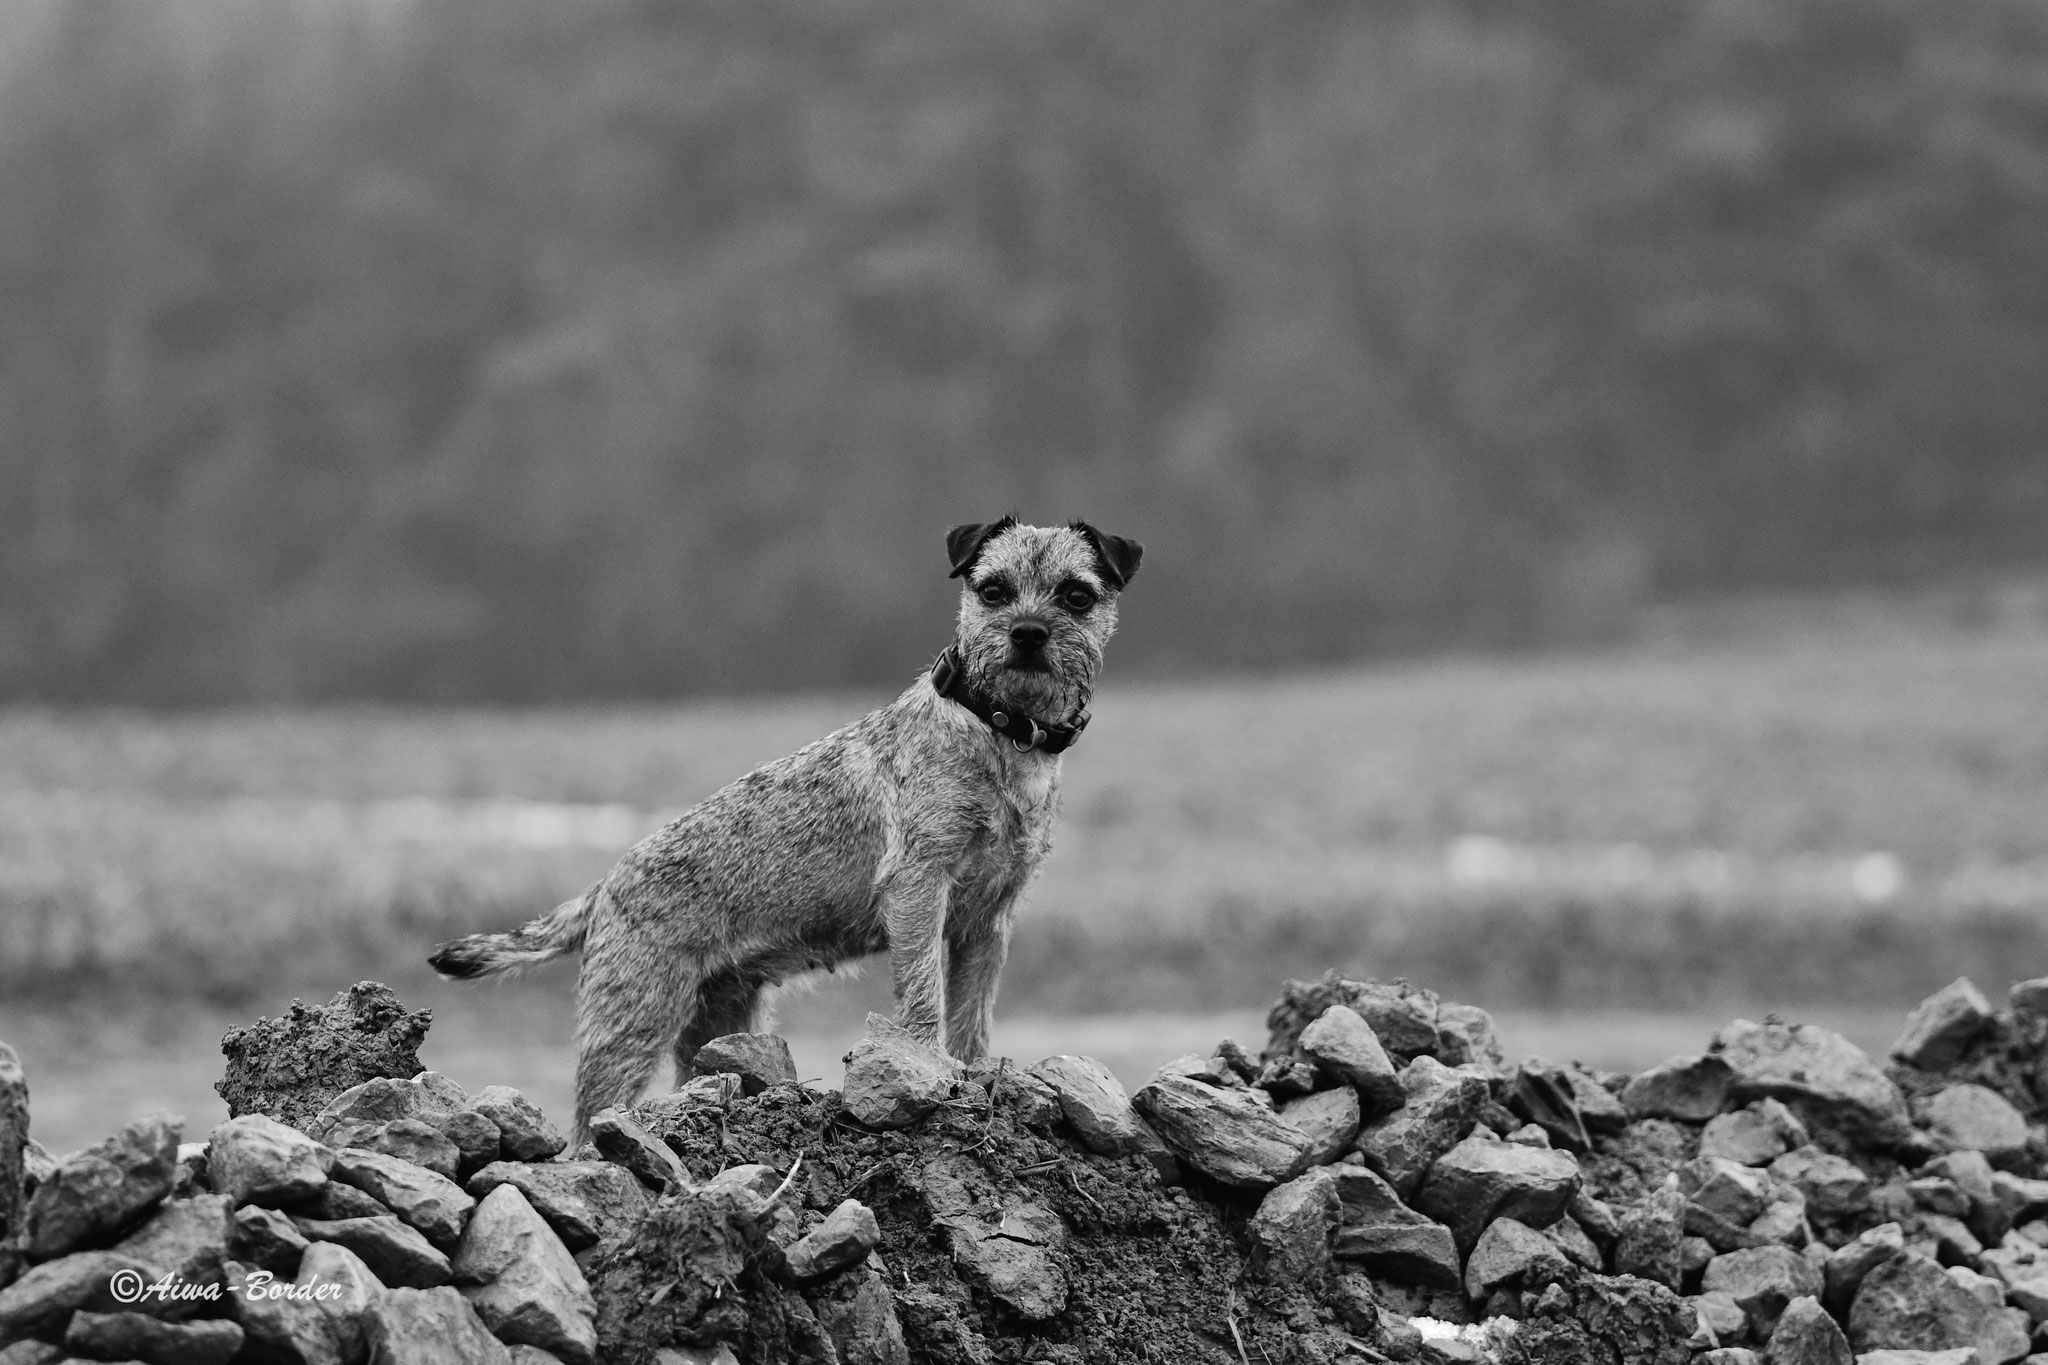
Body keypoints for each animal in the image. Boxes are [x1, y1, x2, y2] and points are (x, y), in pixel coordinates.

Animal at [430, 517, 1138, 1137]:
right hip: (631, 1019)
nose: (1028, 632)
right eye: (993, 590)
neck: (1001, 731)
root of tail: (606, 886)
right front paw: (926, 1067)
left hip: (717, 1019)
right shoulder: (918, 884)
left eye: (1076, 596)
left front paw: (976, 1073)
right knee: (586, 1127)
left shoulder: (988, 919)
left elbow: (973, 1014)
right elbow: (922, 997)